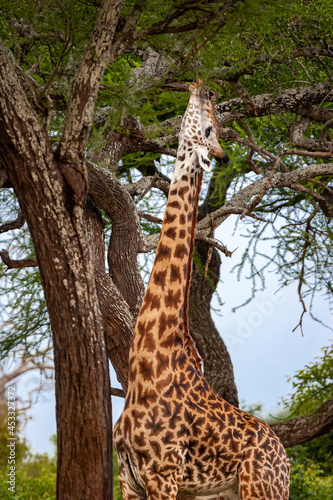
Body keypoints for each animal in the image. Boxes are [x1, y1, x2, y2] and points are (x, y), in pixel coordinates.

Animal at [113, 83, 290, 500]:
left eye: (213, 129)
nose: (202, 87)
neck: (145, 371)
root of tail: (286, 459)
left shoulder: (163, 476)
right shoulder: (128, 480)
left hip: (260, 488)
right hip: (227, 492)